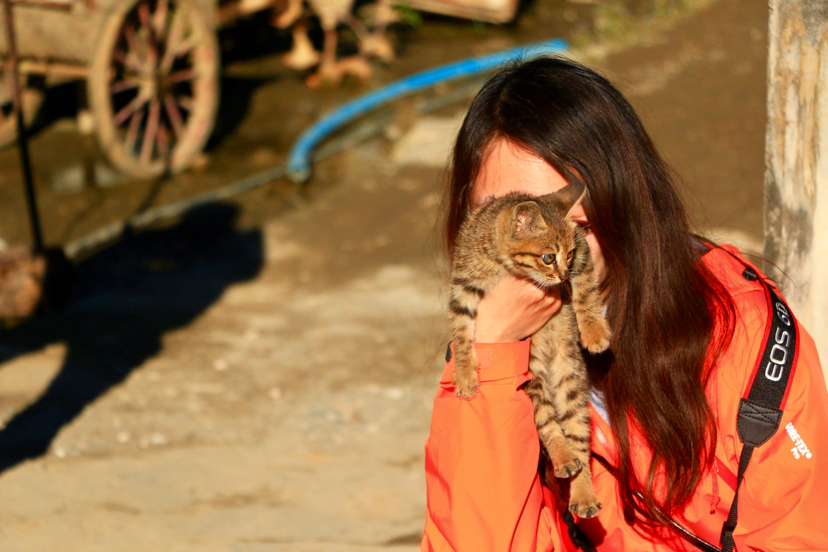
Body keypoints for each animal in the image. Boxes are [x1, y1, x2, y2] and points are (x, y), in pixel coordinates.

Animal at [449, 180, 610, 518]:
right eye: (547, 257)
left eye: (569, 254)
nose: (562, 276)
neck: (502, 264)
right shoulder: (463, 287)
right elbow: (462, 332)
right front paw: (464, 375)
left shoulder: (583, 255)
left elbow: (586, 292)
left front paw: (594, 331)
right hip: (532, 377)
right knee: (548, 423)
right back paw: (563, 459)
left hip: (571, 383)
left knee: (579, 441)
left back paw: (583, 494)